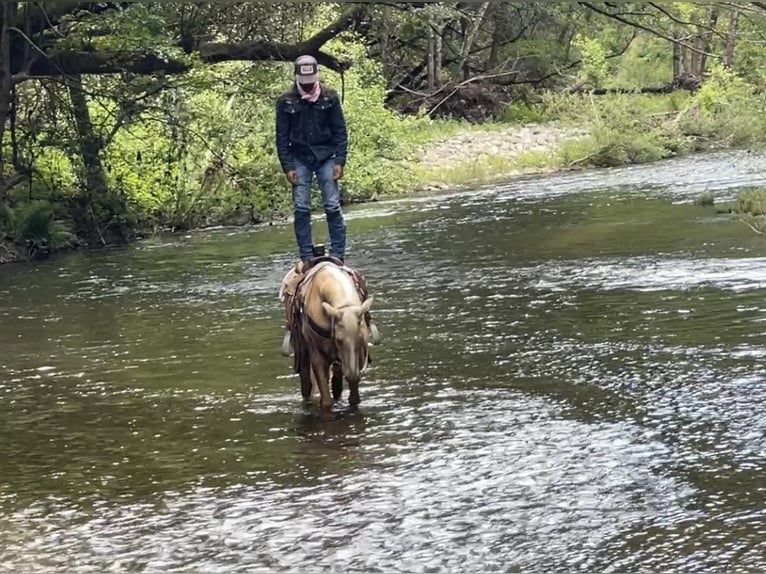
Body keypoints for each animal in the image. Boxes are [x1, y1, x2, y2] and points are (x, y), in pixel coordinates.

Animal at [280, 258, 380, 412]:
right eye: (338, 339)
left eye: (362, 338)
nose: (351, 373)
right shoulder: (318, 357)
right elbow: (326, 400)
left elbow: (353, 397)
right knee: (307, 383)